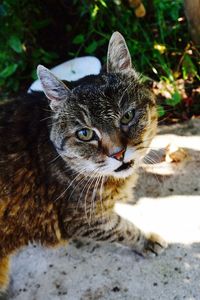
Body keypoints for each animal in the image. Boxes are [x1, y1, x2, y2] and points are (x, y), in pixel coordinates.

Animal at [0, 32, 166, 292]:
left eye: (127, 116)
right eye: (85, 134)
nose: (118, 153)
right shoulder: (82, 220)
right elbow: (121, 228)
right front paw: (145, 240)